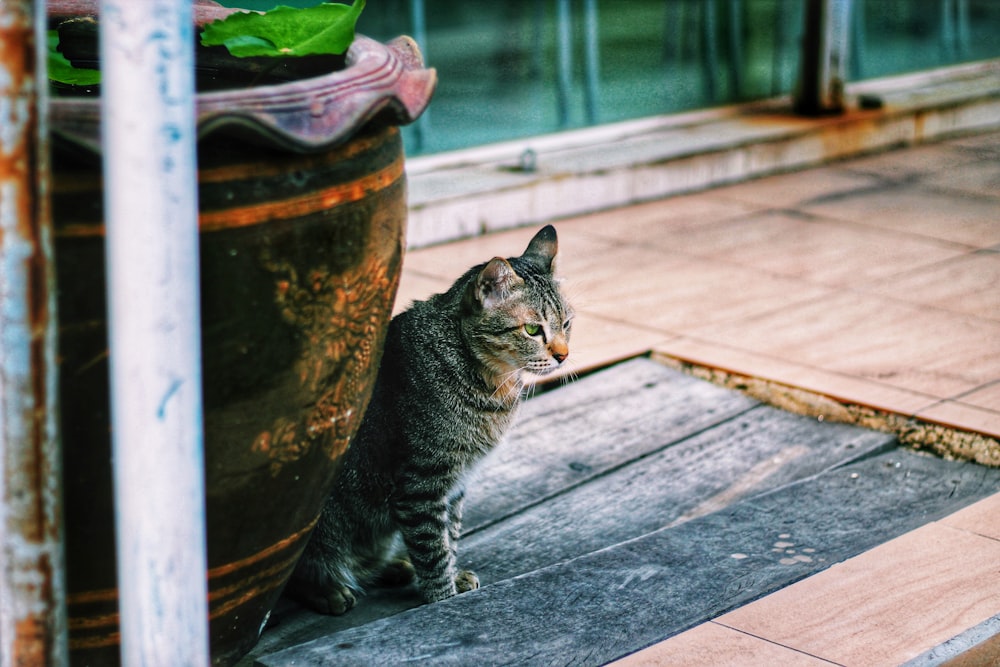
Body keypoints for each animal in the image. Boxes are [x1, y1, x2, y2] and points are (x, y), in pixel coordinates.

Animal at [286, 226, 576, 616]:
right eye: (532, 329)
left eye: (566, 324)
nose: (563, 355)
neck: (490, 386)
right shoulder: (422, 483)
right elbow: (432, 548)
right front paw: (443, 598)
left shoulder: (456, 484)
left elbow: (448, 536)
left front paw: (453, 576)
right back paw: (329, 590)